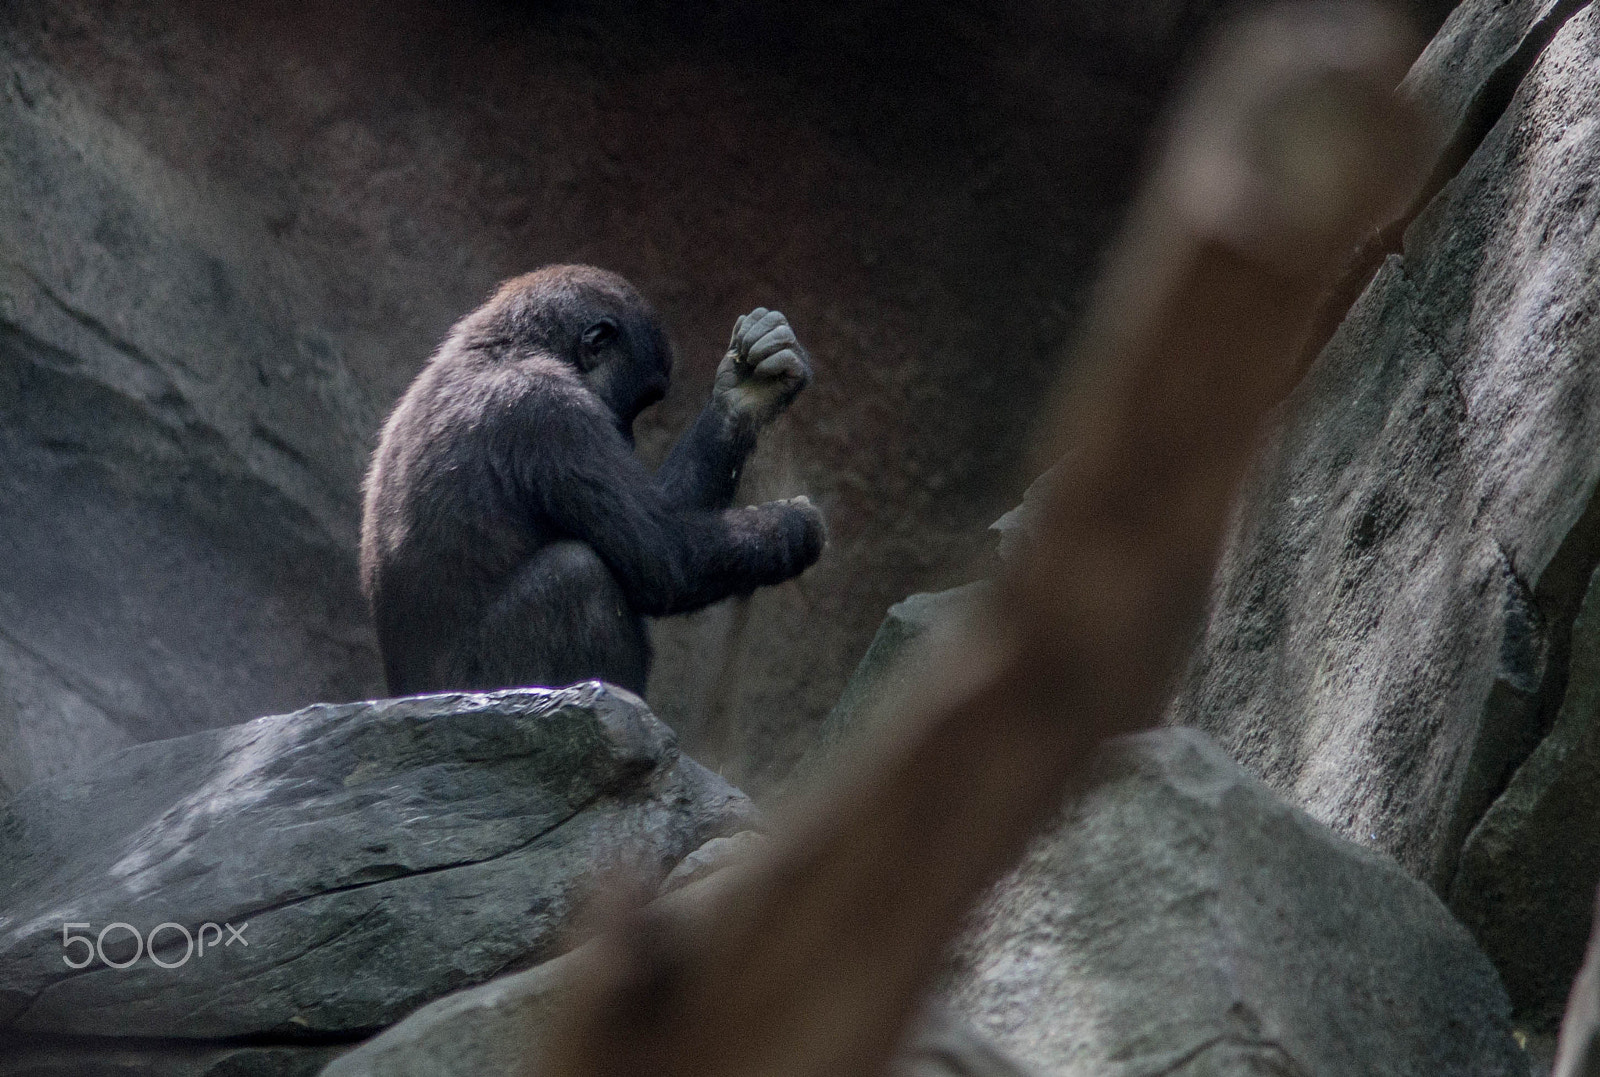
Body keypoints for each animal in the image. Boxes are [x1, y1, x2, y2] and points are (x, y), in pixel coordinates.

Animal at [361, 264, 825, 694]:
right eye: (642, 400)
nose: (629, 435)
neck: (510, 349)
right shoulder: (551, 411)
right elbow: (664, 553)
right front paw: (793, 527)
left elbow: (663, 513)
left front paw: (746, 393)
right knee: (578, 574)